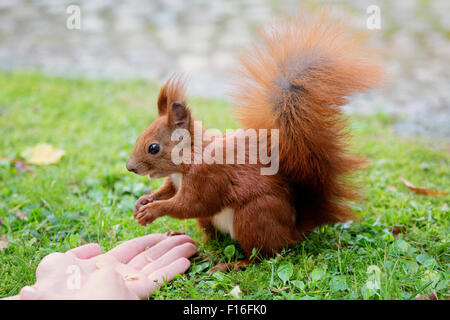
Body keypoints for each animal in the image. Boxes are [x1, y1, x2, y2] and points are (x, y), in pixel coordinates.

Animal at [125, 11, 384, 268]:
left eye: (153, 147)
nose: (130, 168)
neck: (187, 162)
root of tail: (292, 229)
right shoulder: (176, 181)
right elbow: (168, 190)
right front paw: (144, 201)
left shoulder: (209, 176)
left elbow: (191, 204)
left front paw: (152, 210)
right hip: (211, 221)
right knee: (215, 241)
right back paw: (196, 246)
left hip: (253, 216)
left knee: (263, 256)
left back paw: (234, 265)